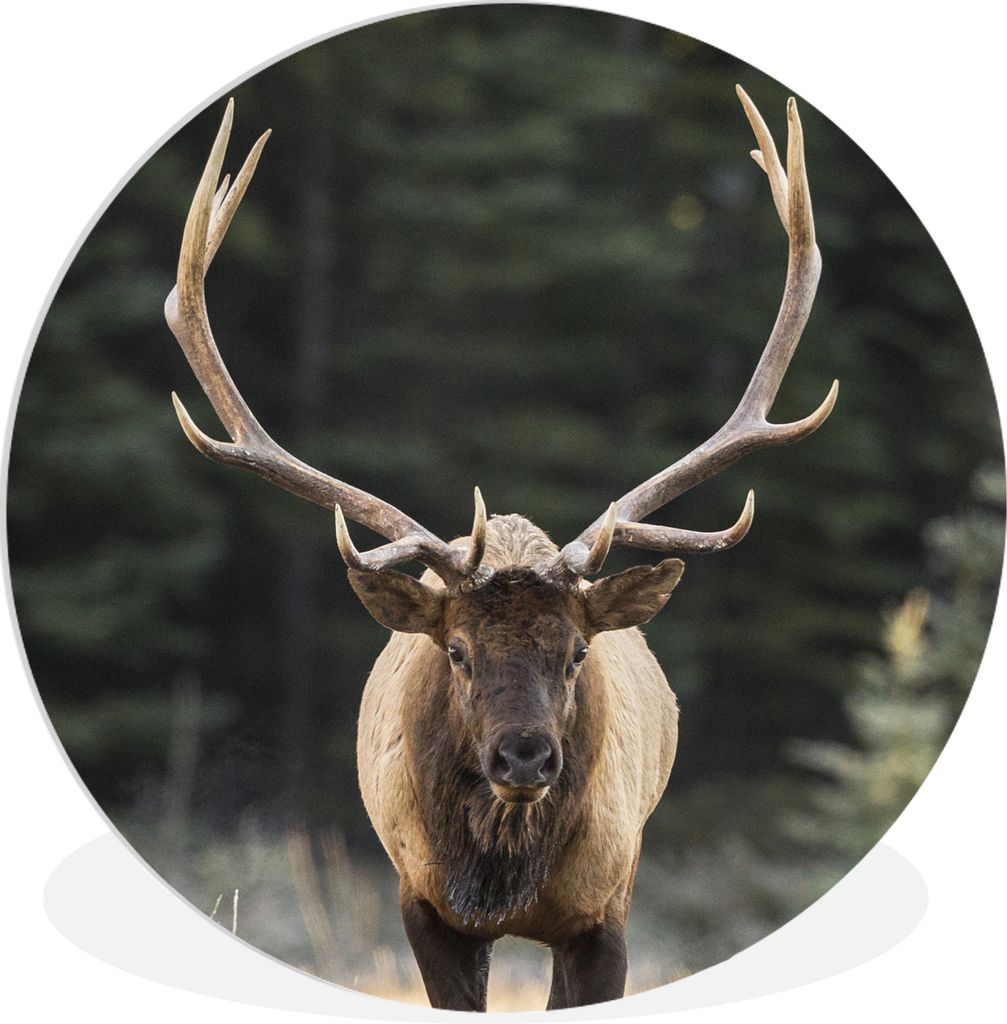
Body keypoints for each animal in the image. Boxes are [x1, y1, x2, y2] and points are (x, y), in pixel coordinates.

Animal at [164, 86, 835, 1010]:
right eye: (455, 650)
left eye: (578, 651)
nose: (524, 755)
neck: (504, 880)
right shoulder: (422, 902)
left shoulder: (605, 908)